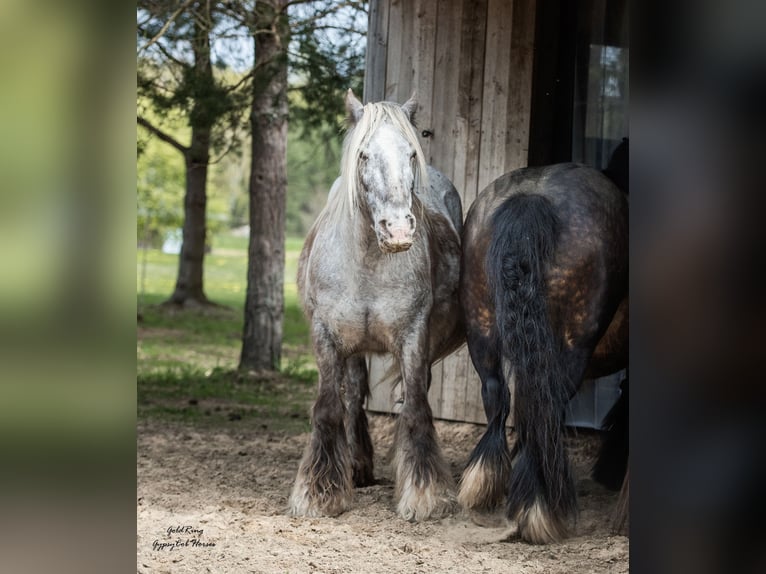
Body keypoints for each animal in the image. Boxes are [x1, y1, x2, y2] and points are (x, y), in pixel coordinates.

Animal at [292, 89, 464, 520]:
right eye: (364, 155)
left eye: (411, 153)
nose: (398, 230)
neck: (368, 261)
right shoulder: (326, 337)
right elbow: (328, 407)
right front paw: (320, 493)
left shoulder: (414, 337)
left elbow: (416, 407)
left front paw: (424, 494)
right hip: (354, 348)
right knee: (353, 398)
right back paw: (357, 468)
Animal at [456, 163, 632, 544]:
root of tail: (531, 199)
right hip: (571, 346)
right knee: (543, 405)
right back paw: (539, 505)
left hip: (481, 327)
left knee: (500, 397)